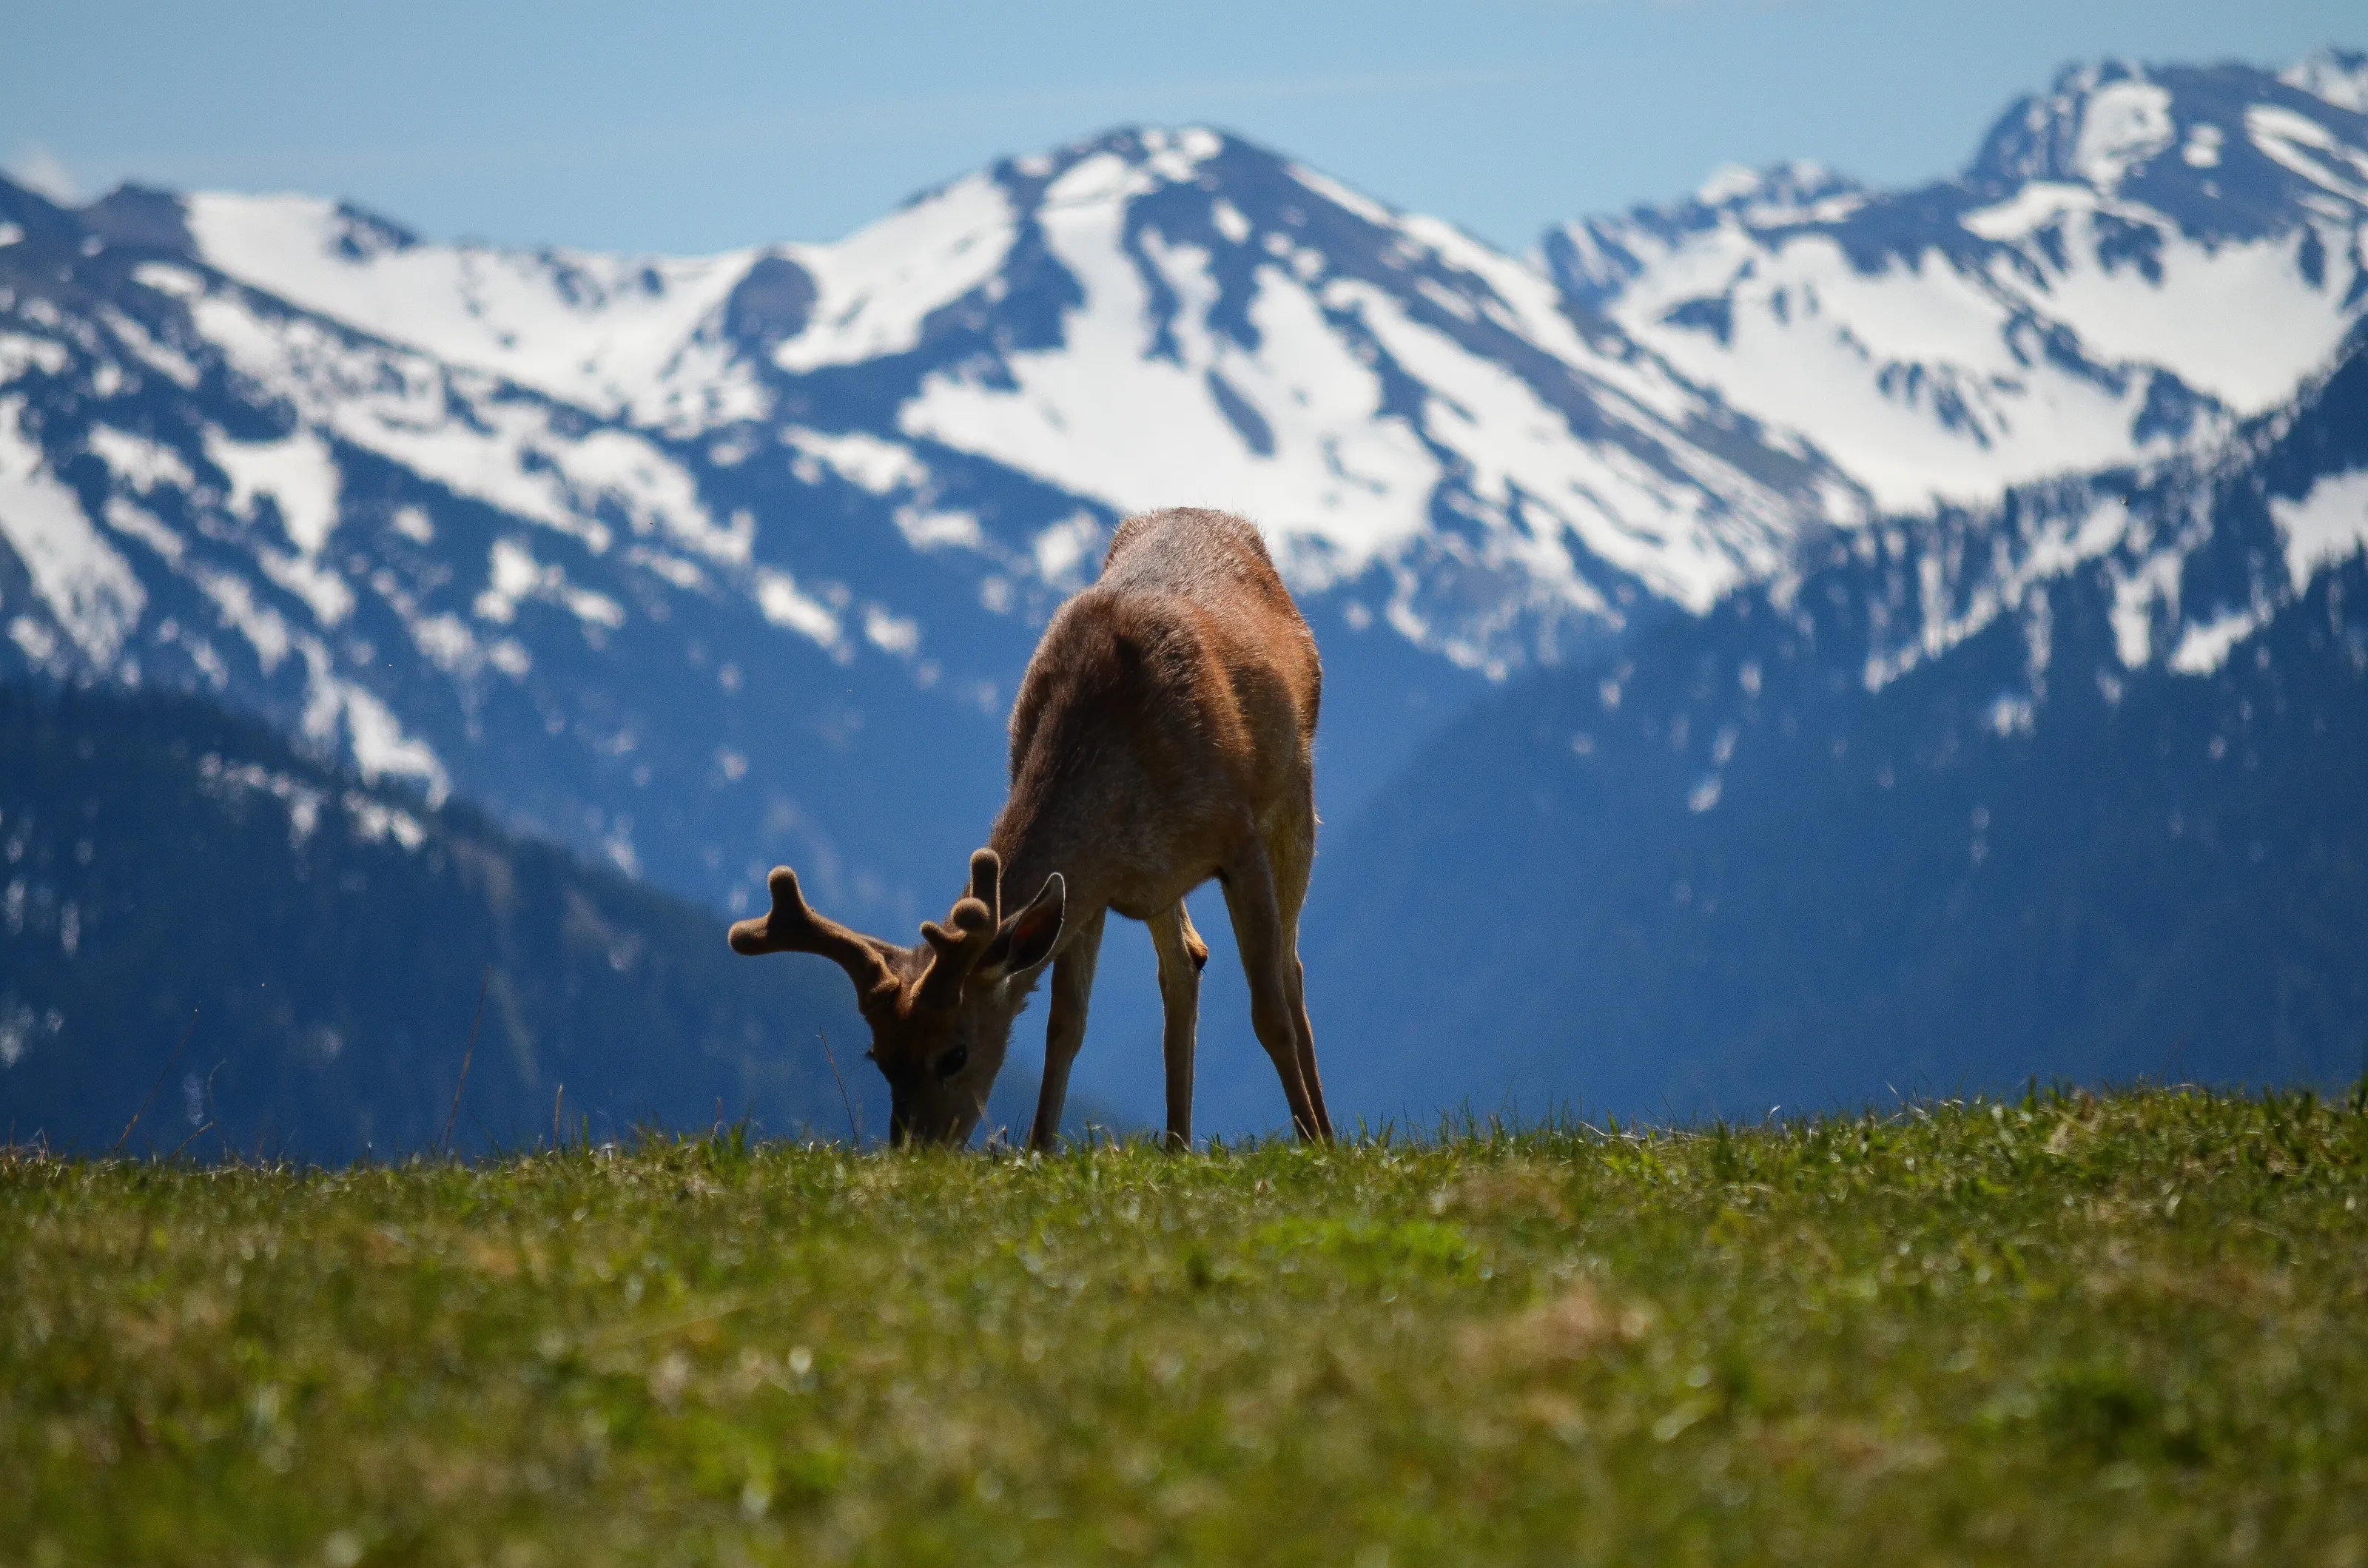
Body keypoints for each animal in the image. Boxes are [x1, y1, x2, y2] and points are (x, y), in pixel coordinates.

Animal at [728, 506, 1333, 1151]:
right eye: (879, 1057)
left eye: (954, 1053)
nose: (916, 1149)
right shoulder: (1093, 885)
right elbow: (1064, 1024)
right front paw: (1040, 1147)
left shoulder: (1237, 834)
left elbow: (1269, 1010)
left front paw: (1312, 1141)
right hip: (1161, 886)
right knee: (1184, 967)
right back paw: (1176, 1144)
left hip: (1294, 800)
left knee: (1290, 969)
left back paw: (1321, 1129)